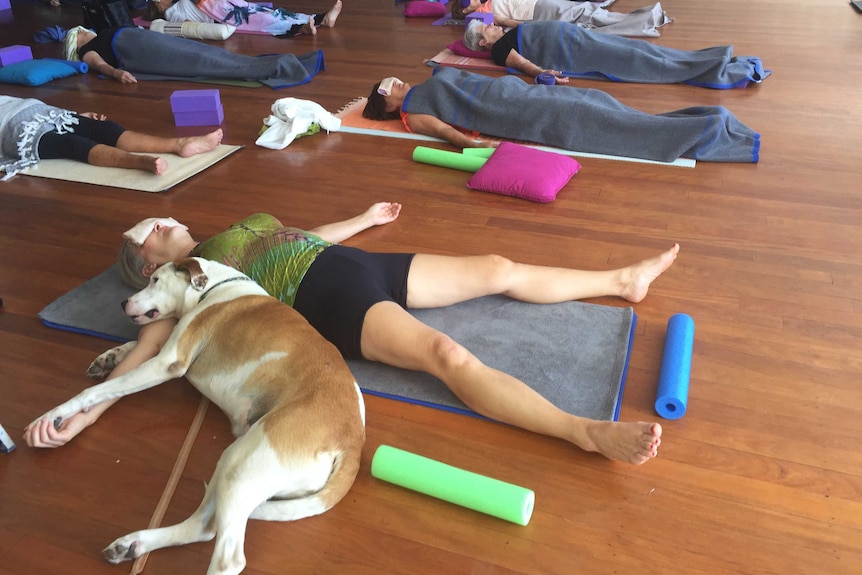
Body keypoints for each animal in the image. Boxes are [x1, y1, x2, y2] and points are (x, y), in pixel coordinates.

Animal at [30, 260, 366, 575]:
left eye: (155, 279)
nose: (123, 303)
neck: (214, 287)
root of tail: (351, 442)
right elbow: (128, 352)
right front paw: (109, 358)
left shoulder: (167, 363)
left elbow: (95, 392)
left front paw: (54, 415)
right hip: (233, 462)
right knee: (203, 528)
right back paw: (132, 544)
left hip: (243, 464)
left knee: (227, 558)